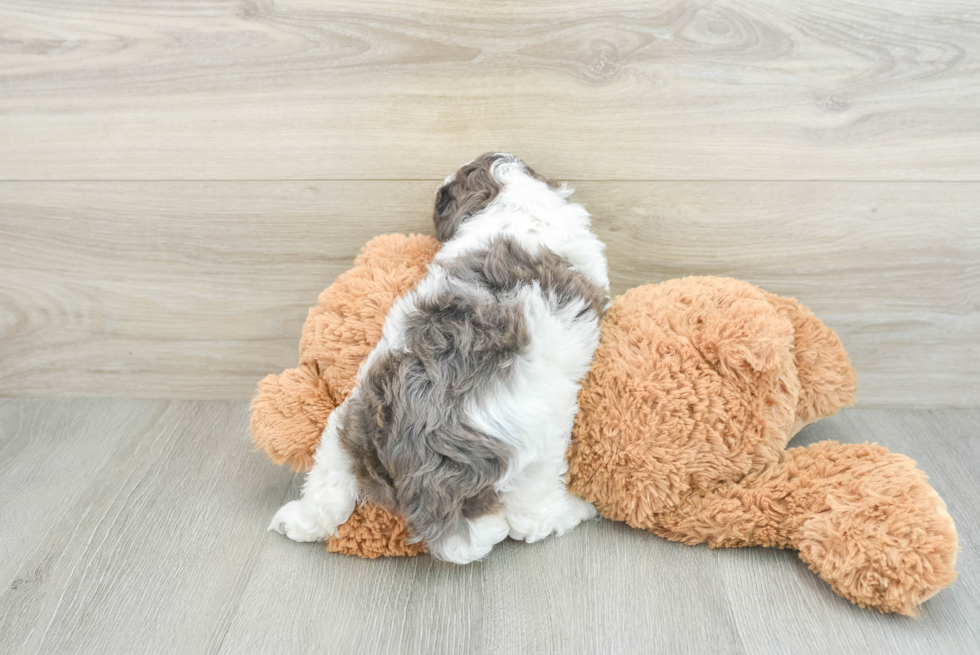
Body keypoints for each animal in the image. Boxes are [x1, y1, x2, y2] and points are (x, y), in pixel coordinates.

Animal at [272, 154, 608, 564]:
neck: (511, 202)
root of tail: (427, 472)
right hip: (537, 456)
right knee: (532, 520)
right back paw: (577, 510)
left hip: (350, 424)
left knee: (329, 487)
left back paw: (298, 521)